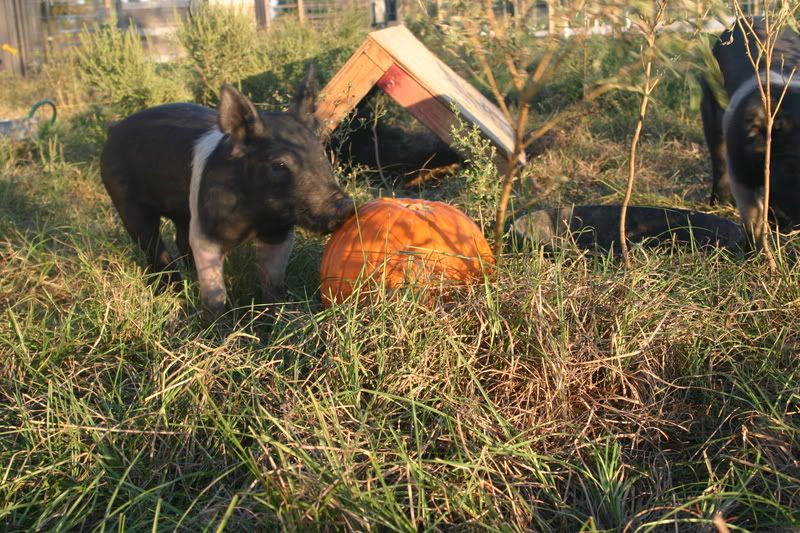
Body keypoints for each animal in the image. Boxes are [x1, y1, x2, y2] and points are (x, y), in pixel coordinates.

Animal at [100, 65, 355, 318]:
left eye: (320, 153)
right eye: (279, 164)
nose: (345, 205)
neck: (256, 216)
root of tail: (114, 129)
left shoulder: (278, 232)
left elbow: (273, 281)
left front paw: (276, 312)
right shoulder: (206, 233)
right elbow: (216, 293)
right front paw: (213, 323)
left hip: (183, 213)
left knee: (181, 240)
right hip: (124, 199)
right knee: (154, 247)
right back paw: (173, 291)